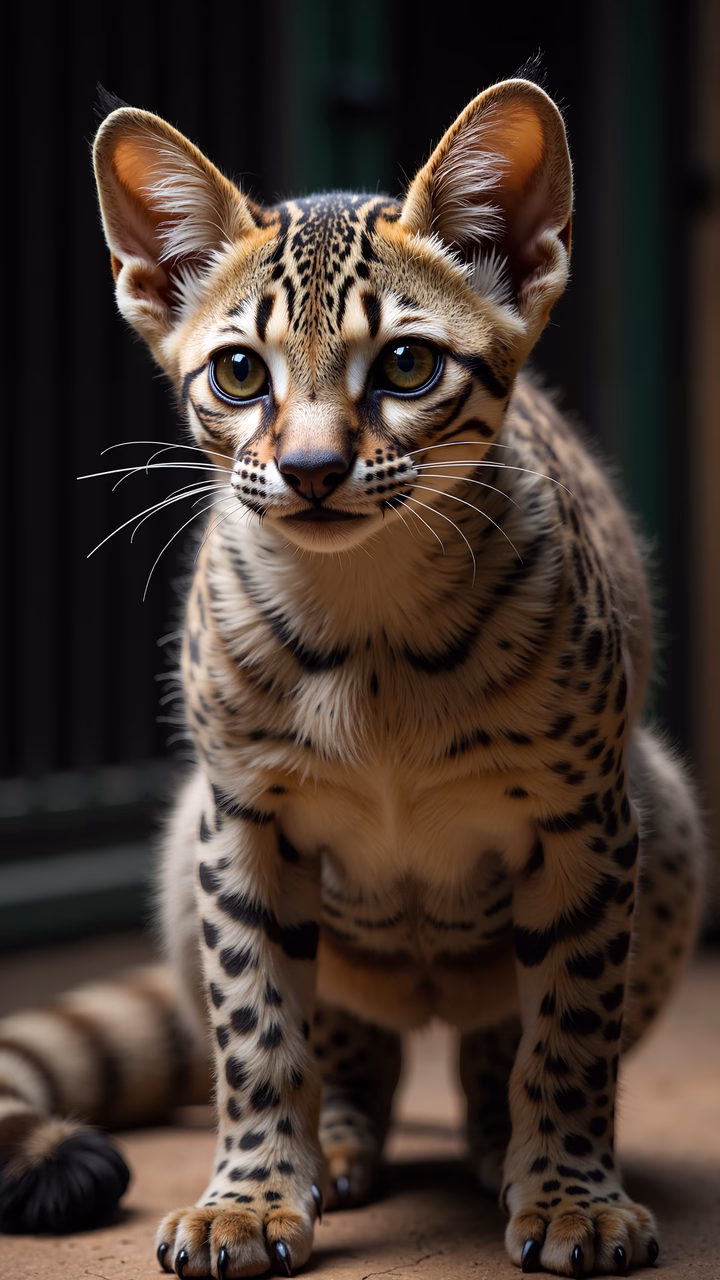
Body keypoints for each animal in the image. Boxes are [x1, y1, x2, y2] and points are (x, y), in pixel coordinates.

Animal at [0, 77, 704, 1278]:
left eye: (409, 365)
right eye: (240, 371)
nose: (314, 468)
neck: (369, 633)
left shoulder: (584, 819)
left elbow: (569, 1034)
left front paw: (573, 1194)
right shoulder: (240, 821)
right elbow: (258, 1034)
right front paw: (249, 1198)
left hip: (664, 817)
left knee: (488, 1048)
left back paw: (495, 1142)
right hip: (188, 846)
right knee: (350, 1048)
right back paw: (337, 1144)